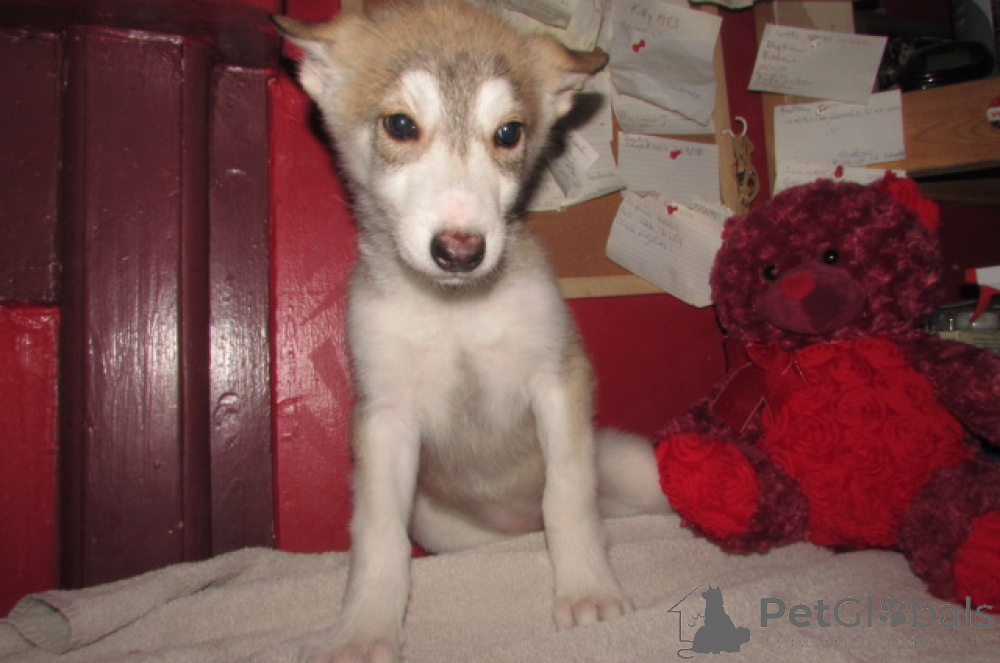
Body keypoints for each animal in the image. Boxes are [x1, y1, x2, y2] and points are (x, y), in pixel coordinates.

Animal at [273, 2, 669, 660]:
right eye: (400, 124)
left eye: (508, 133)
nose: (461, 250)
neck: (455, 309)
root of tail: (516, 525)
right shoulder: (384, 416)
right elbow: (376, 536)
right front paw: (363, 629)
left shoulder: (558, 378)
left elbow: (568, 498)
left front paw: (587, 591)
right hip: (435, 520)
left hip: (634, 462)